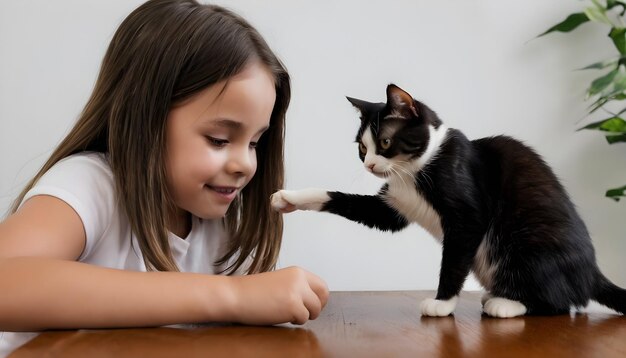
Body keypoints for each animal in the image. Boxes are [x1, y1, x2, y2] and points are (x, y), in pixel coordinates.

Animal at [272, 84, 624, 318]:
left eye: (385, 142)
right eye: (361, 147)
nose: (369, 165)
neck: (412, 172)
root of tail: (592, 272)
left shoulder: (467, 215)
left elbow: (453, 261)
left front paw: (442, 303)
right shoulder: (393, 207)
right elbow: (346, 201)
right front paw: (287, 198)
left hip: (526, 242)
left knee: (561, 302)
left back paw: (506, 303)